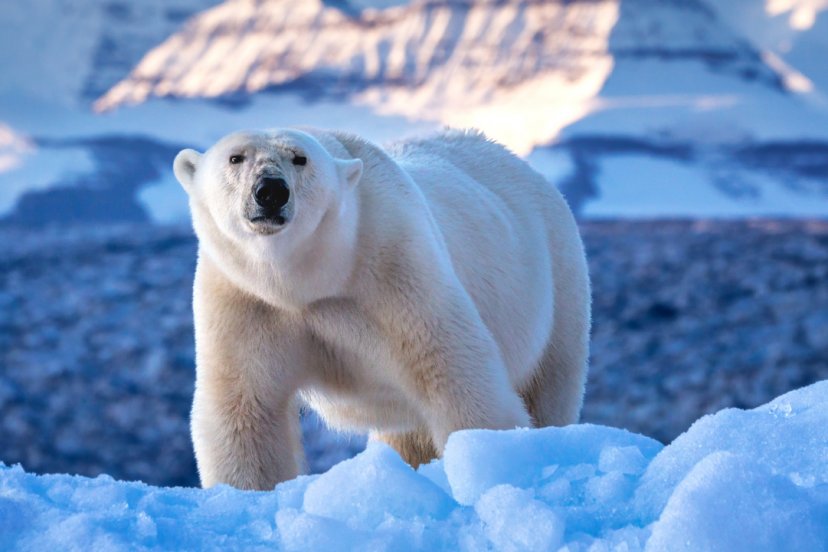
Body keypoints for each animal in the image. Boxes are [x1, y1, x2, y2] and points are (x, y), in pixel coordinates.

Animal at [173, 127, 591, 490]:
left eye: (300, 158)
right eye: (235, 157)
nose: (271, 190)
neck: (307, 282)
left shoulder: (395, 271)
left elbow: (455, 375)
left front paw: (488, 457)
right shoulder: (244, 299)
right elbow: (245, 409)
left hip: (557, 283)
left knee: (549, 384)